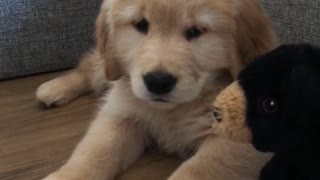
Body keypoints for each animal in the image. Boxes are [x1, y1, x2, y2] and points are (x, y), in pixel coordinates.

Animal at [37, 0, 278, 180]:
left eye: (196, 31)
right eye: (141, 24)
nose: (158, 81)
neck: (175, 110)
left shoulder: (239, 144)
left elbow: (197, 170)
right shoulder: (122, 113)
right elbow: (95, 151)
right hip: (109, 65)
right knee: (89, 66)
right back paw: (53, 88)